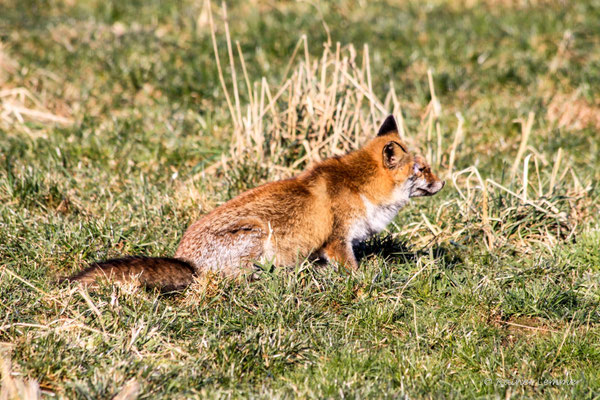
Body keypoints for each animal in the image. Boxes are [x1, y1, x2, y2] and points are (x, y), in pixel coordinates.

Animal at [64, 115, 446, 290]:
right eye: (423, 169)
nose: (443, 182)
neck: (362, 188)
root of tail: (188, 262)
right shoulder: (337, 240)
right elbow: (354, 270)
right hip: (258, 233)